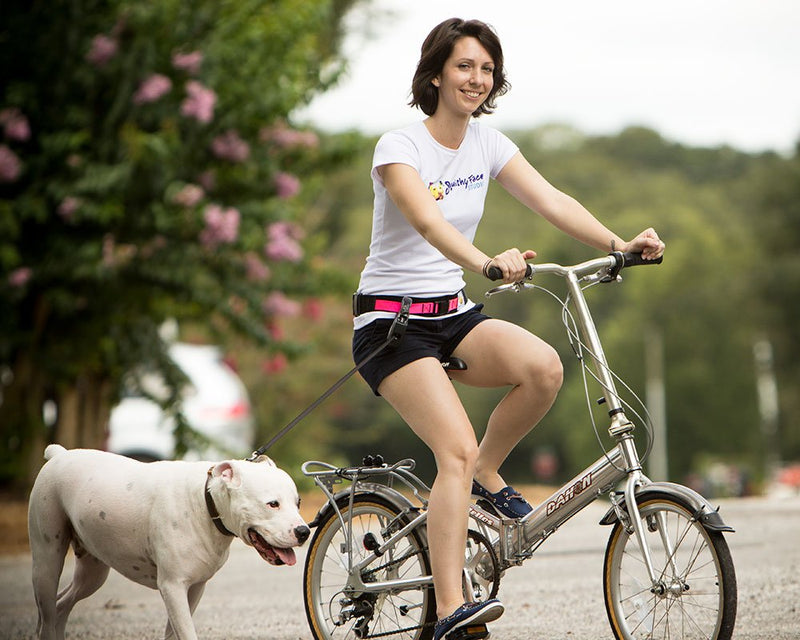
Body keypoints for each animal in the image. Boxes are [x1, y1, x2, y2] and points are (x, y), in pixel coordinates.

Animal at [28, 444, 310, 640]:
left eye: (298, 503)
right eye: (272, 504)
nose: (304, 531)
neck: (204, 502)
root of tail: (60, 455)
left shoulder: (194, 588)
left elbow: (173, 633)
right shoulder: (173, 588)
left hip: (92, 573)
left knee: (62, 606)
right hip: (46, 562)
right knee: (47, 615)